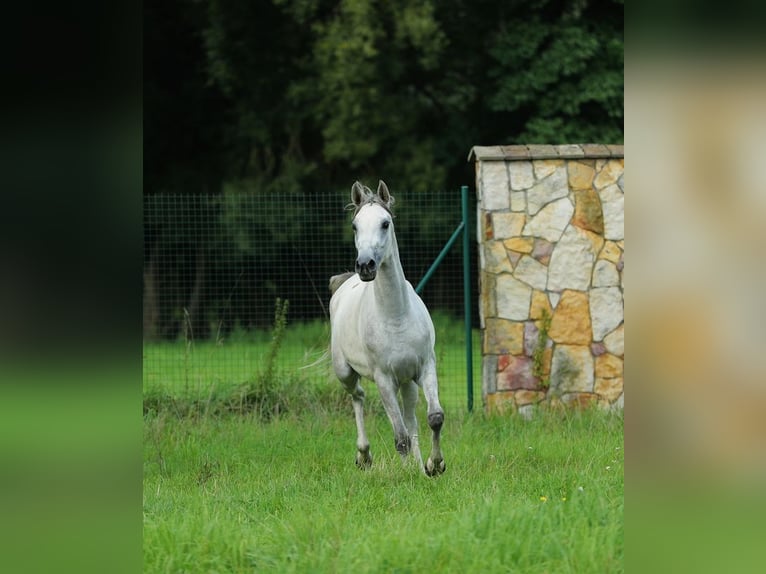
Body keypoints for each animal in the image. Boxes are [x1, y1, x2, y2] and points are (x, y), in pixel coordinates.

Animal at [328, 180, 448, 476]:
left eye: (385, 223)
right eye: (354, 226)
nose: (365, 265)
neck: (396, 317)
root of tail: (345, 282)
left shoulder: (425, 367)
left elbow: (434, 418)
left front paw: (434, 465)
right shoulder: (384, 380)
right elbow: (400, 437)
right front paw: (409, 474)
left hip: (407, 383)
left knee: (411, 421)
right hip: (345, 373)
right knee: (357, 397)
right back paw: (364, 455)